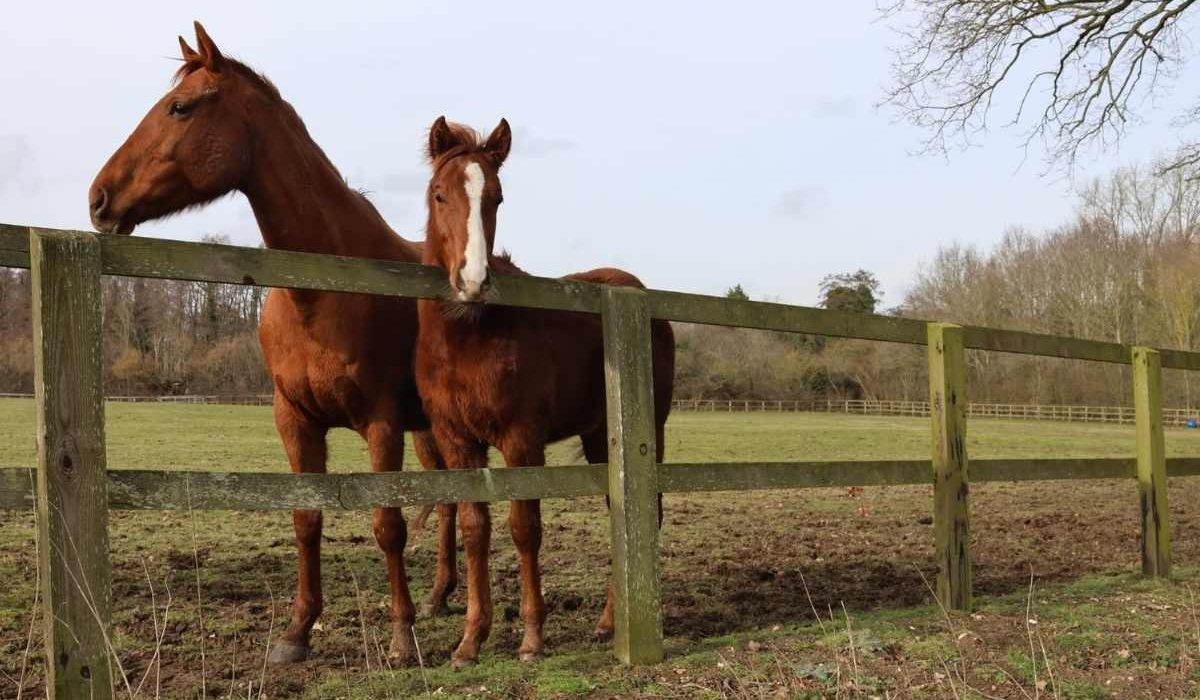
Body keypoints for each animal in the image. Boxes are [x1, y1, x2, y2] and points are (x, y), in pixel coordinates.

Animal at [87, 22, 459, 665]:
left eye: (180, 107)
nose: (98, 198)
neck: (323, 290)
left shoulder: (381, 424)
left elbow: (387, 525)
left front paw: (401, 637)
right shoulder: (295, 420)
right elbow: (306, 520)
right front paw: (296, 633)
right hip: (429, 430)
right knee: (448, 501)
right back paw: (440, 596)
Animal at [413, 117, 675, 667]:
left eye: (496, 197)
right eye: (440, 194)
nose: (473, 281)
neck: (468, 335)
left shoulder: (522, 439)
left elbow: (524, 528)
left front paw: (532, 637)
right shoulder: (456, 440)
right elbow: (475, 528)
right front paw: (470, 640)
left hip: (648, 428)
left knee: (646, 512)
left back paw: (612, 621)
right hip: (600, 436)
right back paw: (607, 622)